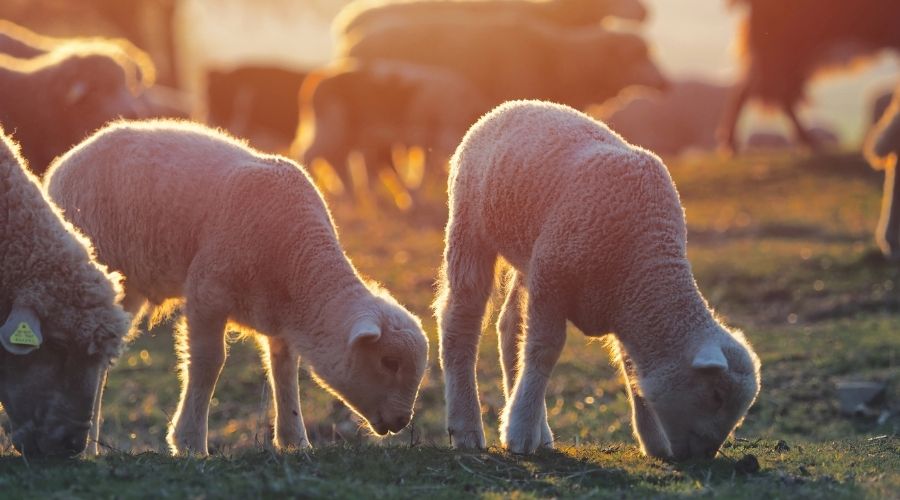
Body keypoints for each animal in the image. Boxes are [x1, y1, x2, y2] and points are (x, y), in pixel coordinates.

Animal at [45, 120, 429, 455]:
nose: (401, 421)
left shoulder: (279, 317)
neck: (298, 259)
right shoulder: (207, 293)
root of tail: (65, 160)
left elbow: (284, 369)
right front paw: (190, 443)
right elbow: (209, 362)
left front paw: (294, 441)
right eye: (389, 361)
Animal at [291, 58, 487, 201]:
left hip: (345, 132)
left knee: (337, 159)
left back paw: (349, 196)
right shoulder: (426, 133)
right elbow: (421, 167)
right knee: (311, 153)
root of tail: (317, 80)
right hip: (332, 125)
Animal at [435, 100, 761, 457]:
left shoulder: (618, 302)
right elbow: (544, 350)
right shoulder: (553, 278)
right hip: (470, 227)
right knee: (461, 321)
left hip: (529, 253)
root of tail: (509, 106)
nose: (703, 456)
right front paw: (519, 433)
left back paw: (539, 431)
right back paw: (467, 428)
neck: (642, 266)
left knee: (510, 327)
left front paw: (653, 440)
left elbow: (631, 368)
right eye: (716, 396)